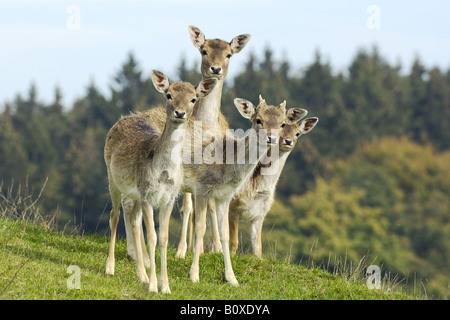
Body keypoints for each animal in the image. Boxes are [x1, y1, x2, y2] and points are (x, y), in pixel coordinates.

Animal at [105, 69, 218, 292]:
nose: (180, 113)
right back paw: (110, 268)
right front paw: (153, 286)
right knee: (114, 215)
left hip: (135, 193)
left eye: (193, 99)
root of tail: (123, 119)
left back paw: (141, 275)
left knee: (133, 220)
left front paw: (164, 286)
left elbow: (164, 238)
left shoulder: (168, 198)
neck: (163, 172)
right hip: (112, 178)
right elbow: (152, 237)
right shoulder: (148, 195)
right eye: (169, 95)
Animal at [229, 115, 320, 258]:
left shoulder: (260, 214)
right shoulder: (232, 208)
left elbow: (258, 248)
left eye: (297, 133)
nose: (288, 141)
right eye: (280, 129)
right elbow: (233, 243)